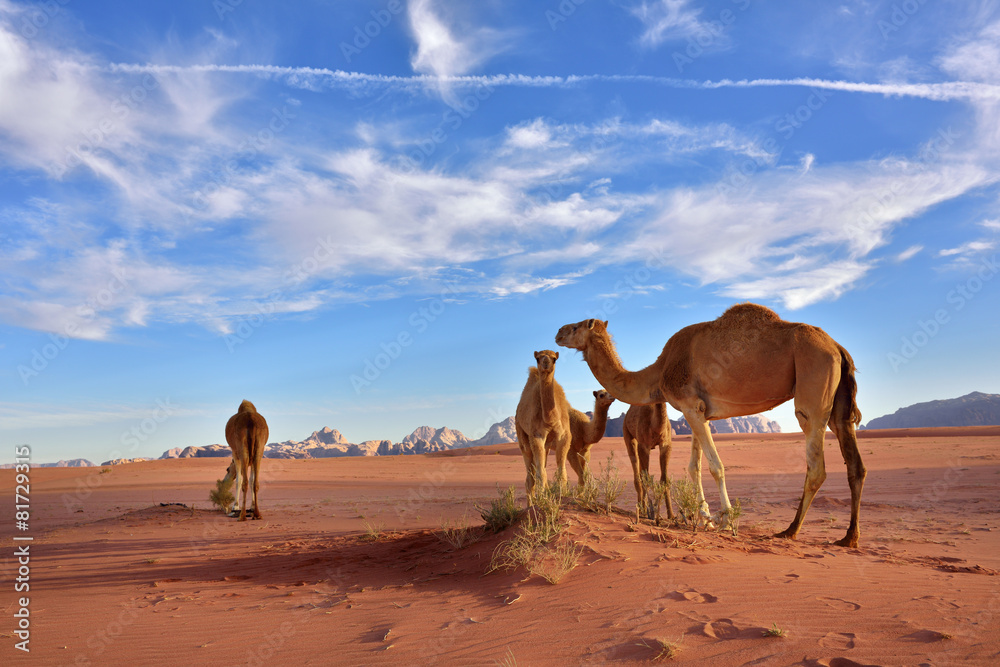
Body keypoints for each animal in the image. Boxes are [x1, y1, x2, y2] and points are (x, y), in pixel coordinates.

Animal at [516, 352, 572, 504]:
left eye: (555, 358)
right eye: (537, 358)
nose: (546, 362)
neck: (550, 419)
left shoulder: (564, 435)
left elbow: (561, 470)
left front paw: (562, 493)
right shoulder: (536, 435)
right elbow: (541, 472)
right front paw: (544, 496)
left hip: (547, 445)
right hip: (521, 434)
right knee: (530, 477)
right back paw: (531, 504)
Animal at [556, 302, 868, 548]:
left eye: (576, 327)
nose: (558, 333)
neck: (659, 371)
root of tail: (838, 348)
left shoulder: (690, 405)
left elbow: (715, 466)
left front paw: (725, 521)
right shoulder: (700, 410)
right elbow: (694, 468)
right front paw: (703, 517)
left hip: (813, 388)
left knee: (816, 465)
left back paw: (789, 531)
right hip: (838, 403)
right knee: (855, 464)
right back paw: (848, 538)